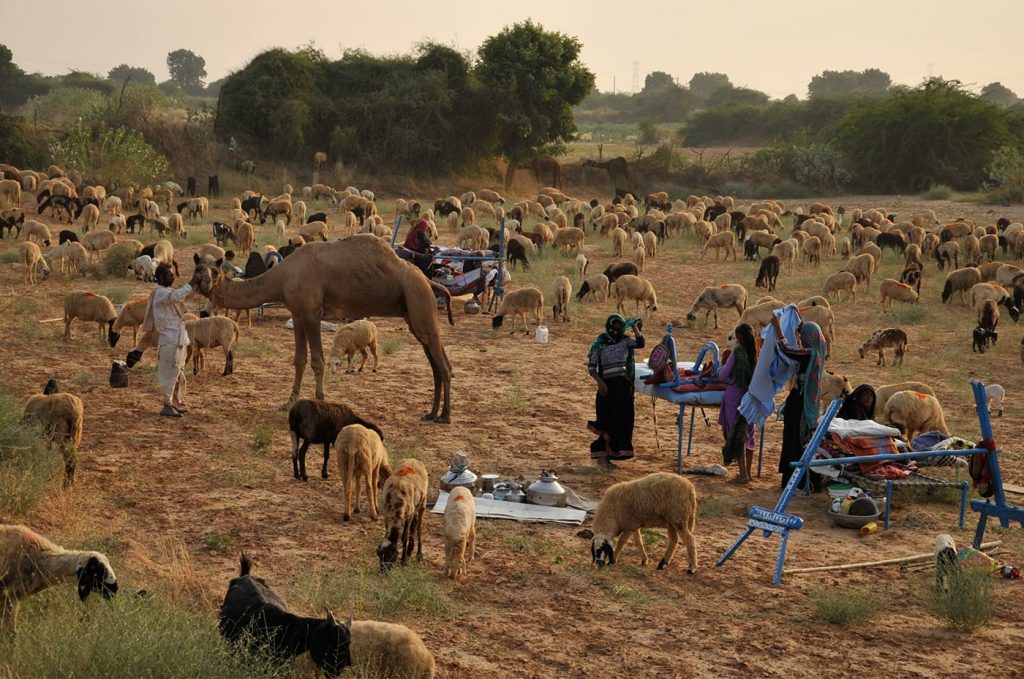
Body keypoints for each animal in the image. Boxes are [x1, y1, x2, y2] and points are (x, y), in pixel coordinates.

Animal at [190, 236, 454, 421]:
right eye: (197, 269)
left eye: (215, 270)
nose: (204, 283)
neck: (282, 276)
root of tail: (427, 278)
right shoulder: (297, 314)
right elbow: (299, 359)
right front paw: (289, 401)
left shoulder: (311, 313)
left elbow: (318, 360)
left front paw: (320, 400)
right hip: (412, 312)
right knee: (435, 363)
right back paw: (431, 413)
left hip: (419, 300)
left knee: (442, 363)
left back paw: (445, 416)